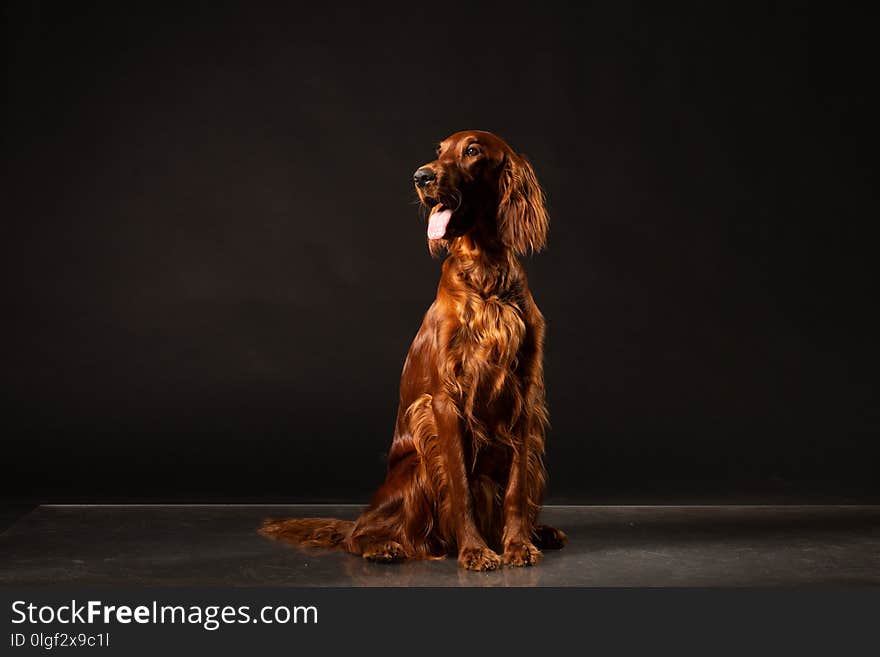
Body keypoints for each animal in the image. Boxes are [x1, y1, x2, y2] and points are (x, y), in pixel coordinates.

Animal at [260, 129, 564, 568]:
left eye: (472, 150)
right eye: (439, 151)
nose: (421, 176)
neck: (485, 273)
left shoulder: (523, 396)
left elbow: (516, 487)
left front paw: (518, 544)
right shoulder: (443, 400)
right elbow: (460, 486)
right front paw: (475, 551)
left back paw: (540, 532)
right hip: (417, 463)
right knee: (361, 534)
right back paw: (384, 546)